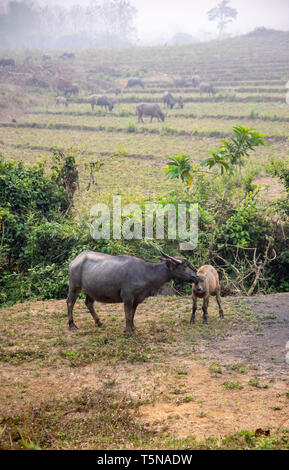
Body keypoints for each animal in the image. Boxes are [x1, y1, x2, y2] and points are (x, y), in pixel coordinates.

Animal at [67, 250, 198, 334]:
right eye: (184, 266)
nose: (196, 276)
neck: (145, 273)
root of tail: (75, 261)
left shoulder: (137, 299)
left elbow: (133, 314)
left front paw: (133, 328)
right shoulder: (127, 297)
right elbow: (127, 314)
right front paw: (128, 331)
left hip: (90, 290)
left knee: (89, 303)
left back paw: (99, 323)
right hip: (74, 286)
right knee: (70, 302)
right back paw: (72, 325)